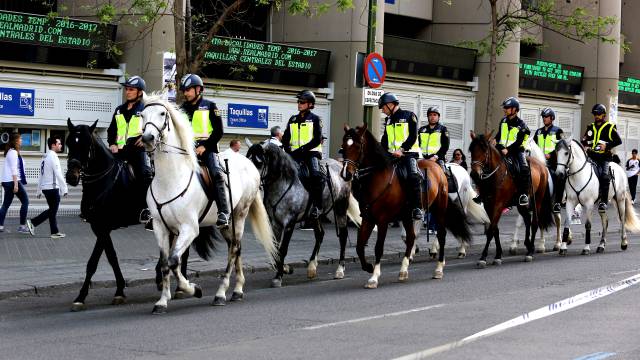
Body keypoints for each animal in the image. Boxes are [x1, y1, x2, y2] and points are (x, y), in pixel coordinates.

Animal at [141, 94, 276, 314]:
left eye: (162, 113)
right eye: (142, 115)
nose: (147, 139)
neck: (170, 179)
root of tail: (248, 164)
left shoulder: (189, 229)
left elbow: (174, 261)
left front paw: (192, 289)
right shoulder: (160, 227)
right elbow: (164, 263)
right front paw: (162, 301)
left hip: (240, 214)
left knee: (234, 249)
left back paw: (221, 293)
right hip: (227, 224)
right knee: (235, 247)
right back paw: (238, 290)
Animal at [340, 122, 470, 288]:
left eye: (357, 146)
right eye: (344, 146)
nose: (346, 174)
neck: (378, 178)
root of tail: (438, 167)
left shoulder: (382, 220)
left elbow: (378, 248)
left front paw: (374, 277)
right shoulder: (368, 219)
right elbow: (359, 246)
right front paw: (368, 267)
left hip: (439, 209)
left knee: (441, 234)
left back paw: (439, 268)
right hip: (408, 215)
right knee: (411, 237)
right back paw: (403, 270)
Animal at [468, 130, 552, 268]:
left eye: (485, 151)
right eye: (471, 150)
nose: (474, 174)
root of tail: (542, 166)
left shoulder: (498, 205)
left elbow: (491, 230)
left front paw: (483, 257)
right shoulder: (488, 205)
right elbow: (495, 230)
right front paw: (498, 255)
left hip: (537, 201)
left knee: (534, 222)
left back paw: (530, 252)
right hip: (521, 204)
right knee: (527, 220)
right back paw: (527, 245)